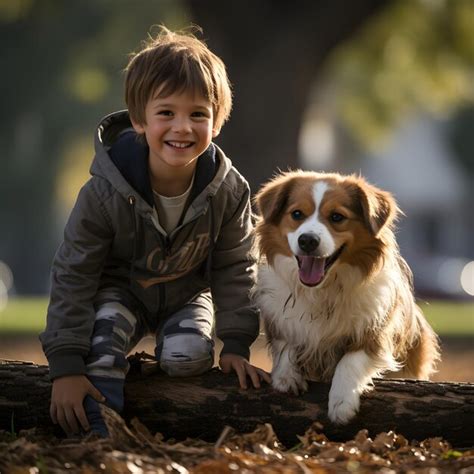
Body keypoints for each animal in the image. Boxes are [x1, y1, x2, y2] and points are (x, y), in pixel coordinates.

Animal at [254, 171, 438, 426]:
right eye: (297, 214)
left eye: (337, 217)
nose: (307, 240)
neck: (323, 288)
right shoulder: (280, 316)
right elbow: (286, 342)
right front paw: (286, 375)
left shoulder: (376, 330)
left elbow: (350, 360)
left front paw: (342, 403)